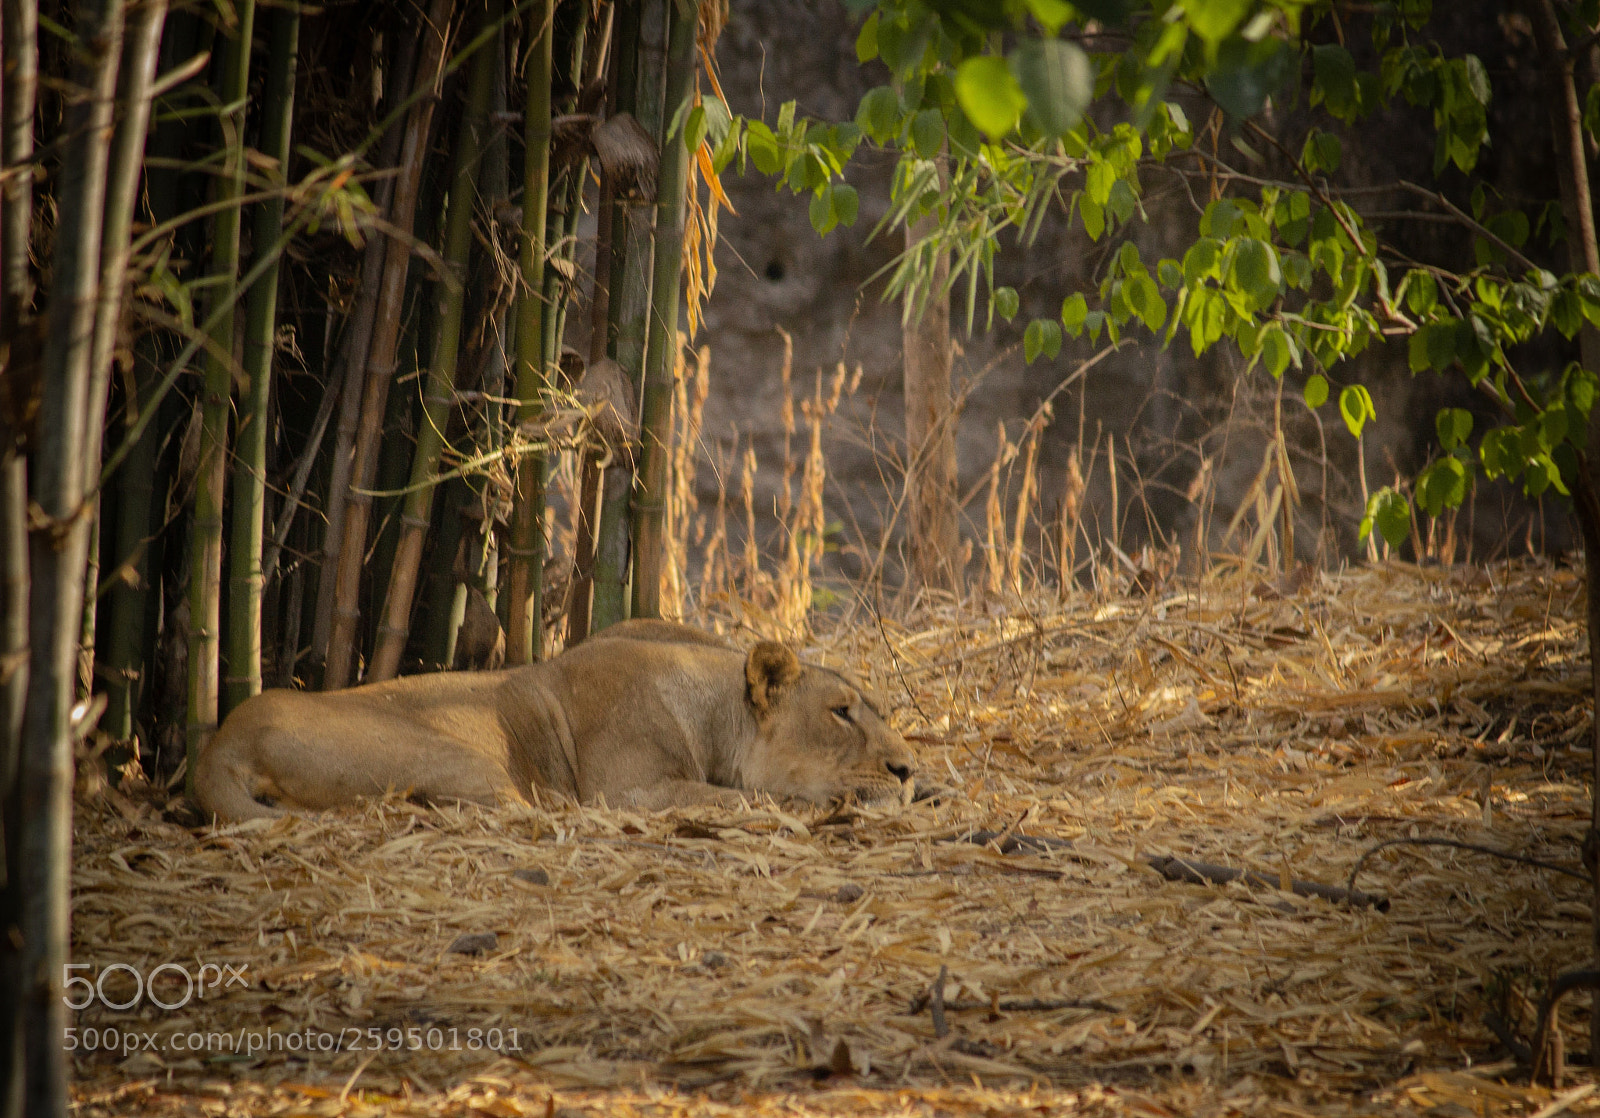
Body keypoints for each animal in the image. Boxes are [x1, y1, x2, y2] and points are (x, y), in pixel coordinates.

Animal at [194, 621, 917, 822]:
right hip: (457, 754)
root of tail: (223, 739)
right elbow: (745, 801)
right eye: (841, 713)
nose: (911, 771)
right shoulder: (630, 790)